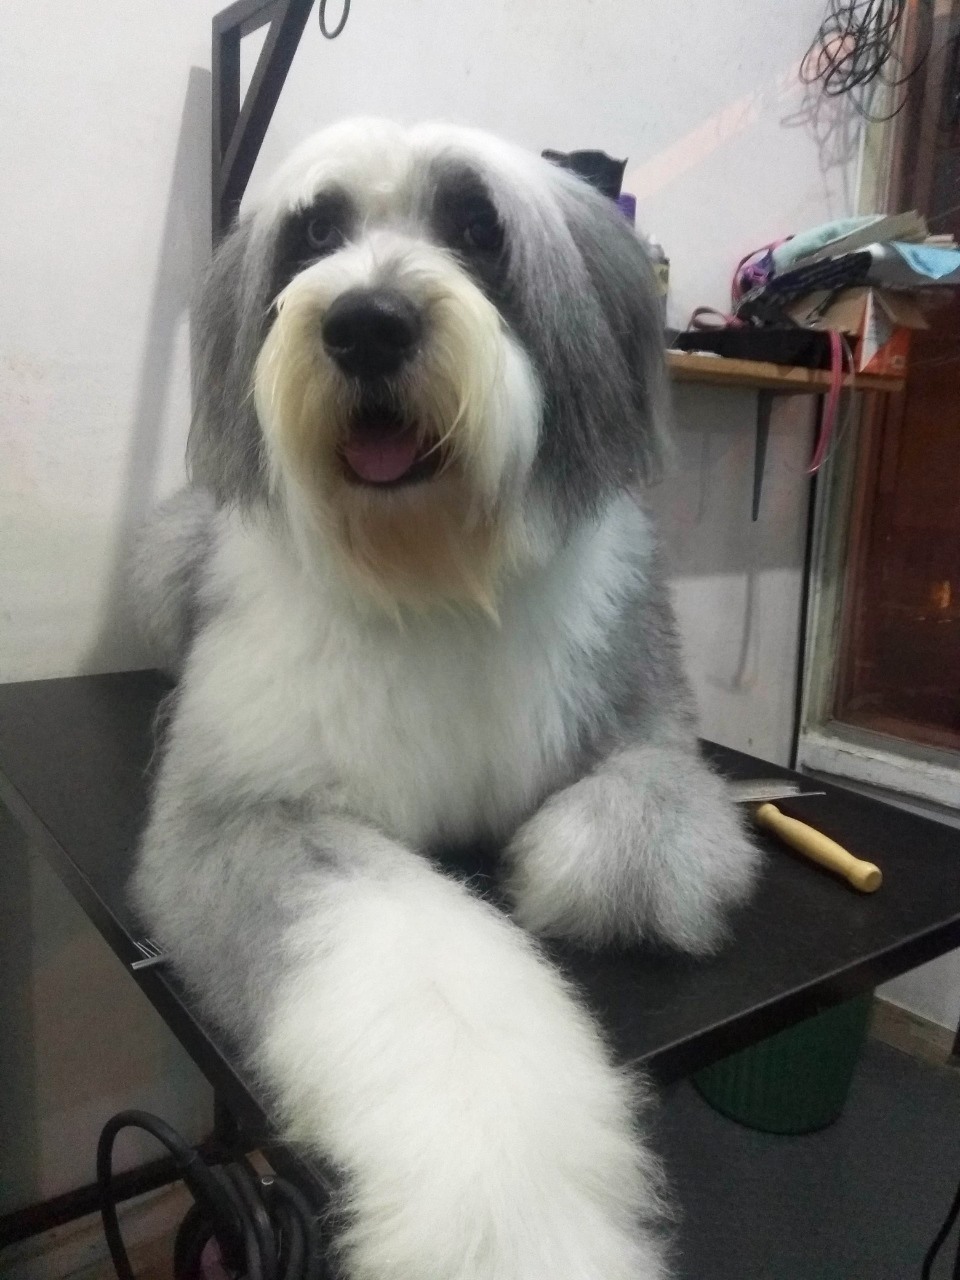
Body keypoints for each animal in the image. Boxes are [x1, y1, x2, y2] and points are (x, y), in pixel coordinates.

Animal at [133, 118, 760, 1280]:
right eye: (316, 232)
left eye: (476, 226)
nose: (366, 324)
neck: (426, 567)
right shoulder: (239, 815)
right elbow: (422, 970)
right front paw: (513, 1214)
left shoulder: (644, 712)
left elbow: (646, 814)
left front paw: (560, 868)